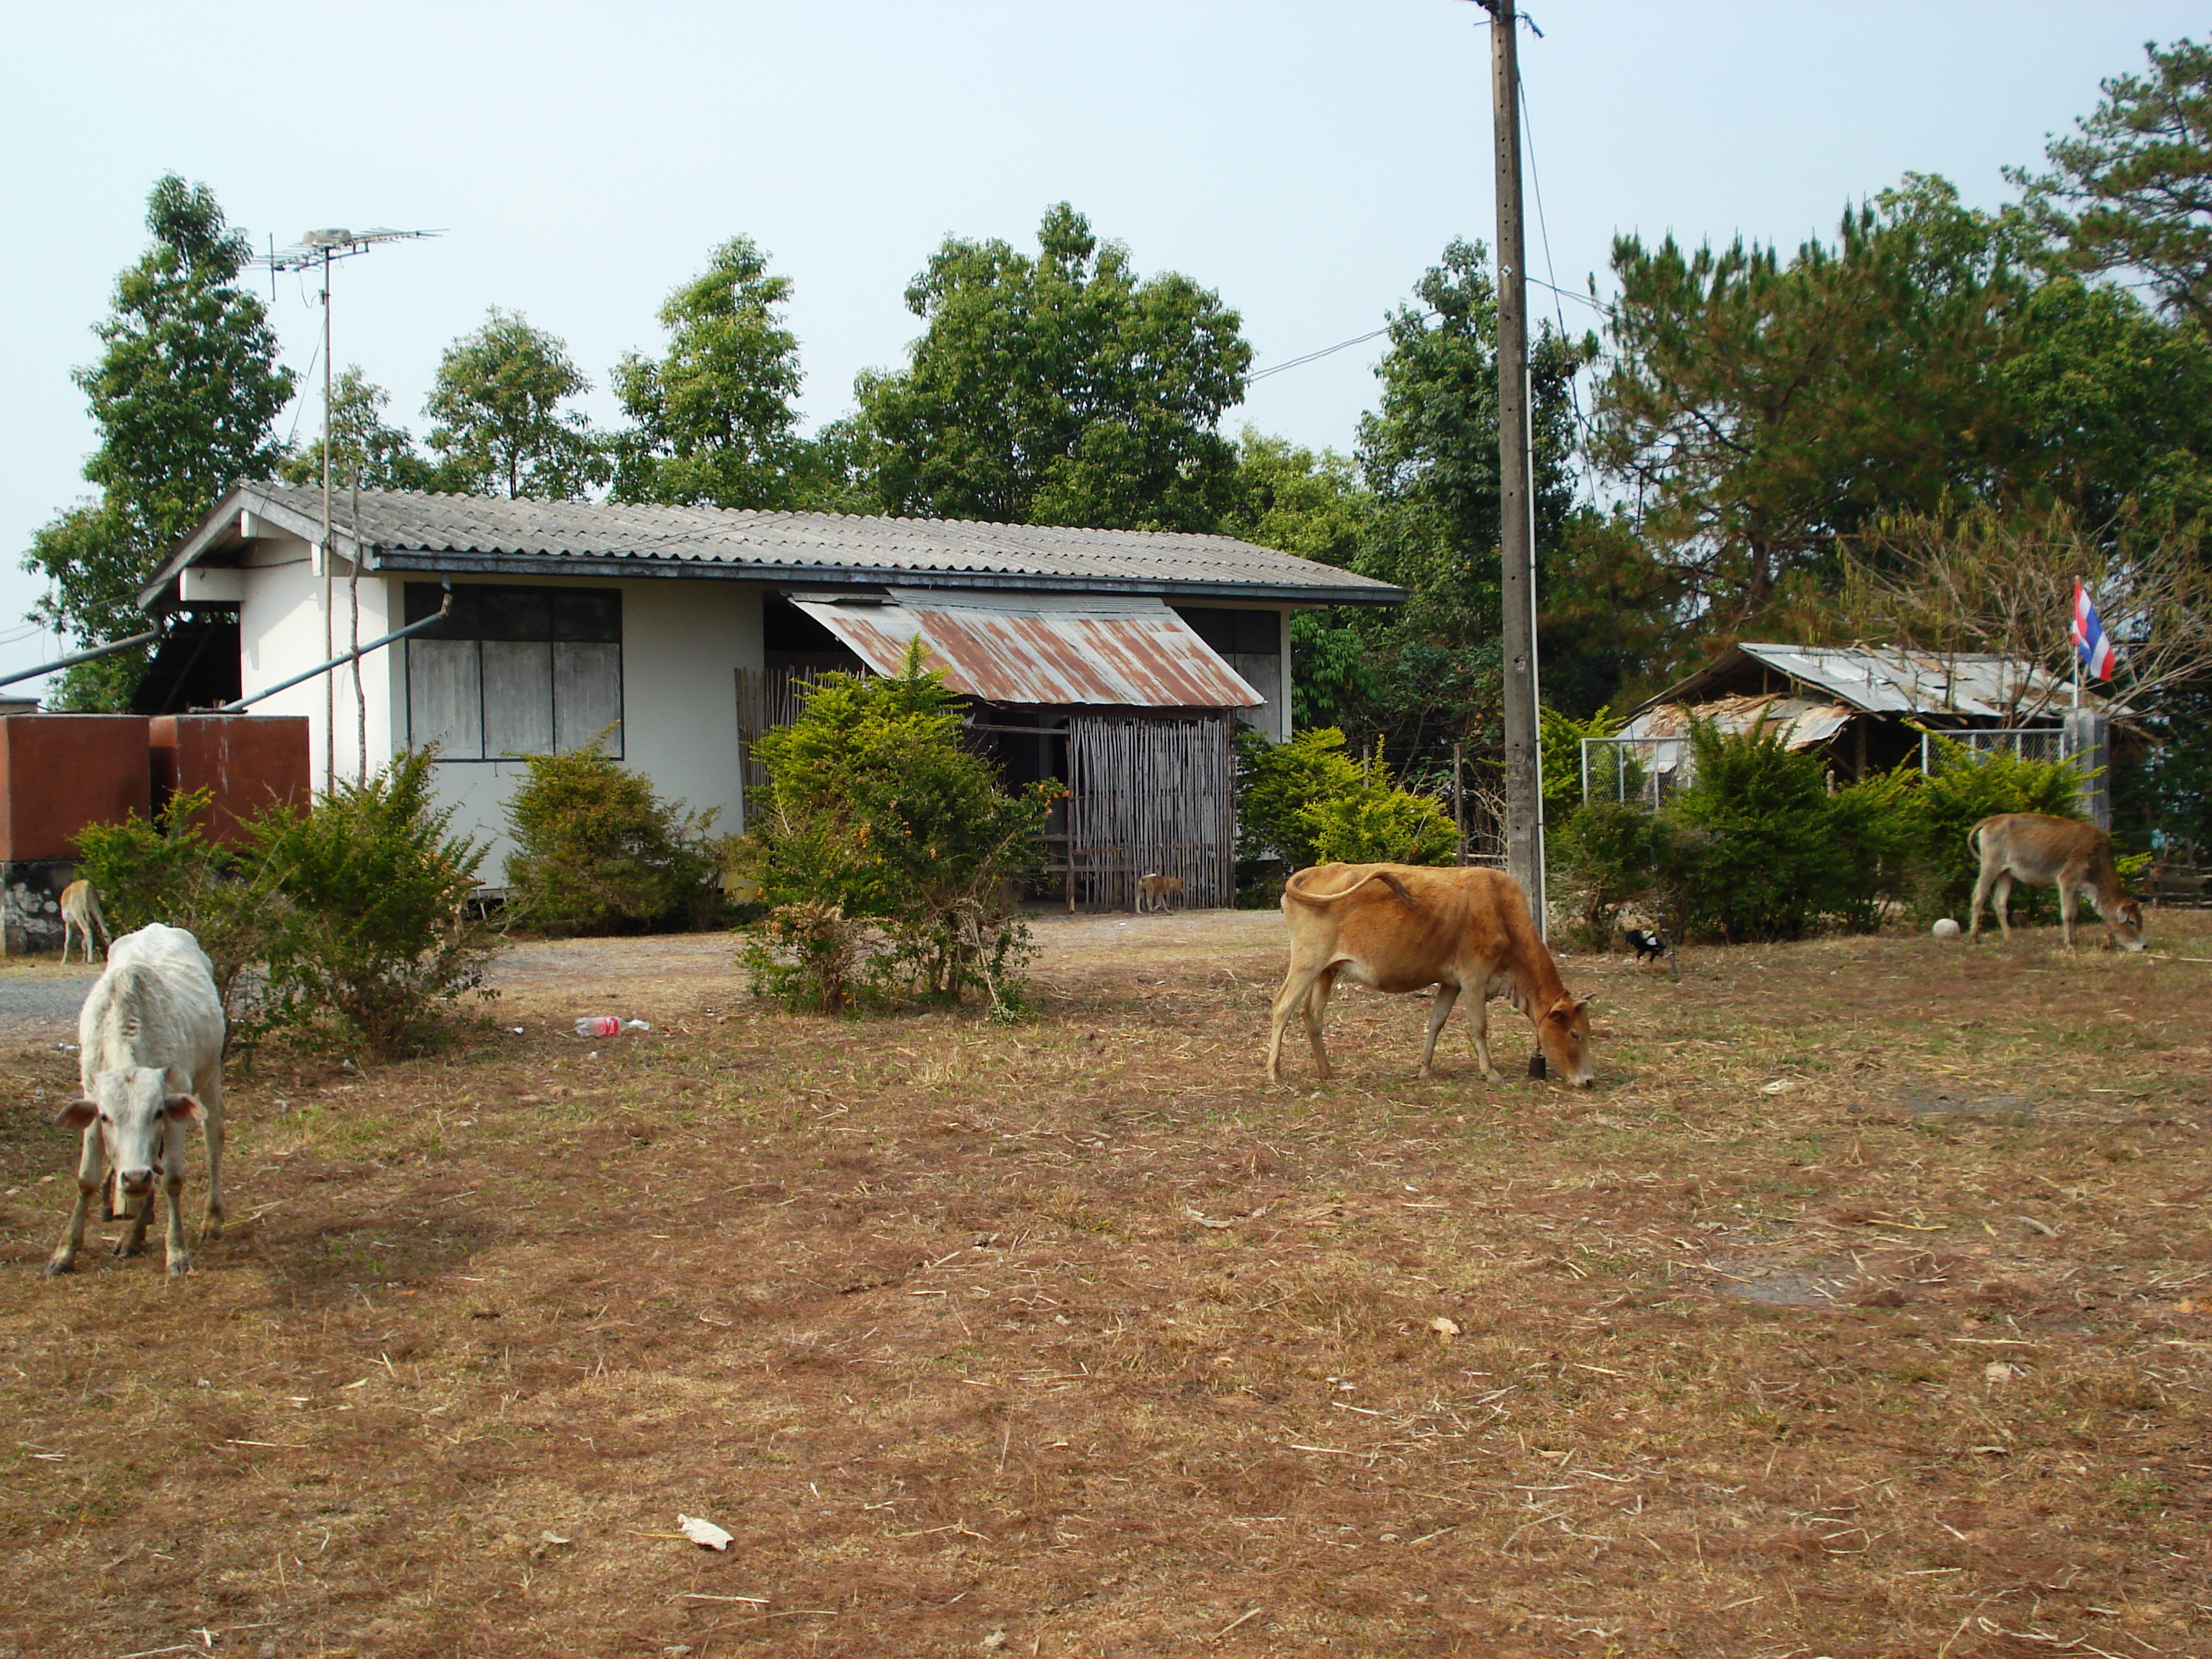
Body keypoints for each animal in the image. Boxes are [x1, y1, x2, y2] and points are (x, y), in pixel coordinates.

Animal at [59, 876, 107, 968]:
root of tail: (86, 885)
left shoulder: (68, 924)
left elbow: (67, 942)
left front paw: (63, 961)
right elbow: (83, 943)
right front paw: (83, 960)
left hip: (79, 915)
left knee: (88, 932)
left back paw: (90, 960)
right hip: (96, 909)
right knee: (104, 930)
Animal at [1265, 871, 1592, 1092]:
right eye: (1575, 1034)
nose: (1588, 1080)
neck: (1501, 909)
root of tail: (1314, 871)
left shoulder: (1452, 983)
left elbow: (1437, 1021)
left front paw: (1424, 1068)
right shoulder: (1474, 978)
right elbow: (1479, 1027)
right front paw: (1490, 1072)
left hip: (1326, 970)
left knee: (1312, 1015)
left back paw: (1327, 1072)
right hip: (1307, 963)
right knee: (1282, 1006)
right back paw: (1274, 1073)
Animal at [1973, 814, 2141, 956]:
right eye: (2131, 921)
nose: (2143, 946)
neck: (2097, 855)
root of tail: (1992, 820)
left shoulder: (2077, 889)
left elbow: (2074, 914)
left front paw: (2075, 940)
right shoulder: (2066, 881)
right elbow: (2067, 914)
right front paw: (2069, 945)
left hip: (2006, 874)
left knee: (2000, 903)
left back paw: (2011, 939)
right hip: (1990, 868)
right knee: (1978, 897)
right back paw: (1975, 937)